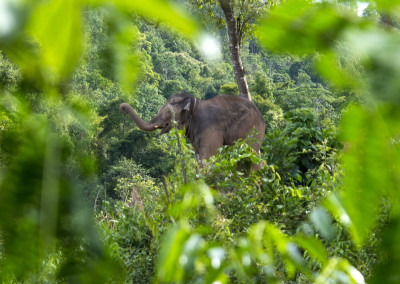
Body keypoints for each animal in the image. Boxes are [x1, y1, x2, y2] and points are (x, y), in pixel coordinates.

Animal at [120, 92, 268, 168]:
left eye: (168, 112)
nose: (123, 109)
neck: (194, 103)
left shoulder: (211, 128)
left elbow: (207, 156)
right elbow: (198, 157)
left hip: (253, 131)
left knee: (251, 155)